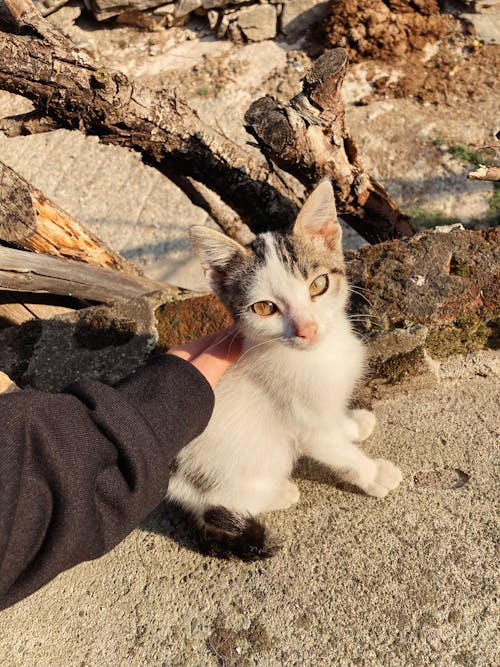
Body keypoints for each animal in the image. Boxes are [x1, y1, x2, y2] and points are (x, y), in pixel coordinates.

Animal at [168, 180, 402, 560]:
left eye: (318, 285)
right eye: (264, 308)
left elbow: (336, 422)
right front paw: (373, 474)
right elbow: (341, 455)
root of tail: (177, 487)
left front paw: (353, 425)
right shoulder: (306, 426)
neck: (318, 357)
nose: (307, 329)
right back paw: (280, 493)